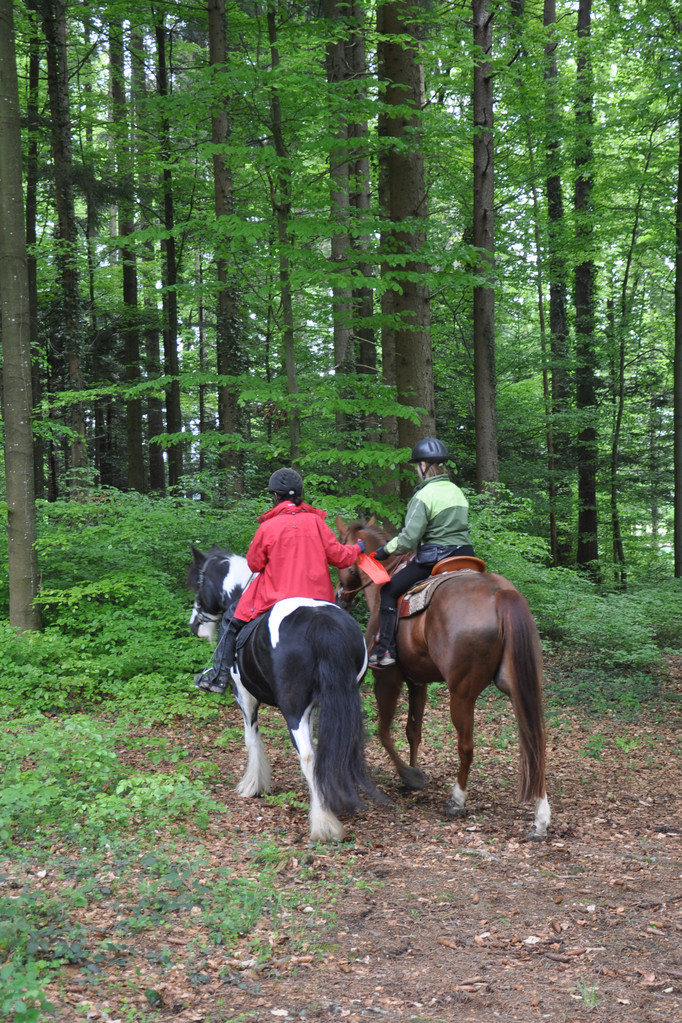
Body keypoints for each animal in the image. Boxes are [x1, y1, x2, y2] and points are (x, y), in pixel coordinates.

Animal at [187, 544, 378, 838]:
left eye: (198, 582)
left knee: (309, 756)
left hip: (293, 709)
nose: (193, 625)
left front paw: (253, 785)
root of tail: (322, 622)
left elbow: (251, 739)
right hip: (345, 700)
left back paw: (323, 822)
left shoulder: (244, 696)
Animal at [337, 515, 556, 842]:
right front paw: (410, 775)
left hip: (461, 694)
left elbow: (384, 731)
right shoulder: (418, 681)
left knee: (466, 746)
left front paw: (411, 775)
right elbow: (413, 730)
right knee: (534, 743)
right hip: (521, 687)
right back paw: (540, 819)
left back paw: (457, 800)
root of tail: (500, 594)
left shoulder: (388, 679)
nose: (340, 596)